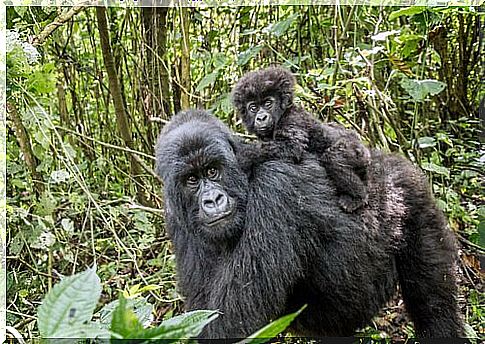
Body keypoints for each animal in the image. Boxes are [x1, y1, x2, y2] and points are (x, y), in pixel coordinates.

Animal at [154, 109, 462, 338]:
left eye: (212, 171)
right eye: (191, 180)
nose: (213, 199)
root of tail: (388, 161)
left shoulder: (275, 189)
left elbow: (230, 324)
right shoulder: (176, 219)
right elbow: (204, 314)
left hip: (413, 199)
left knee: (434, 303)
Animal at [233, 66, 368, 212]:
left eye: (268, 103)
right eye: (253, 108)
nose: (261, 117)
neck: (283, 112)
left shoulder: (292, 119)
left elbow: (291, 146)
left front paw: (245, 155)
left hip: (358, 152)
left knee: (333, 158)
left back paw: (357, 198)